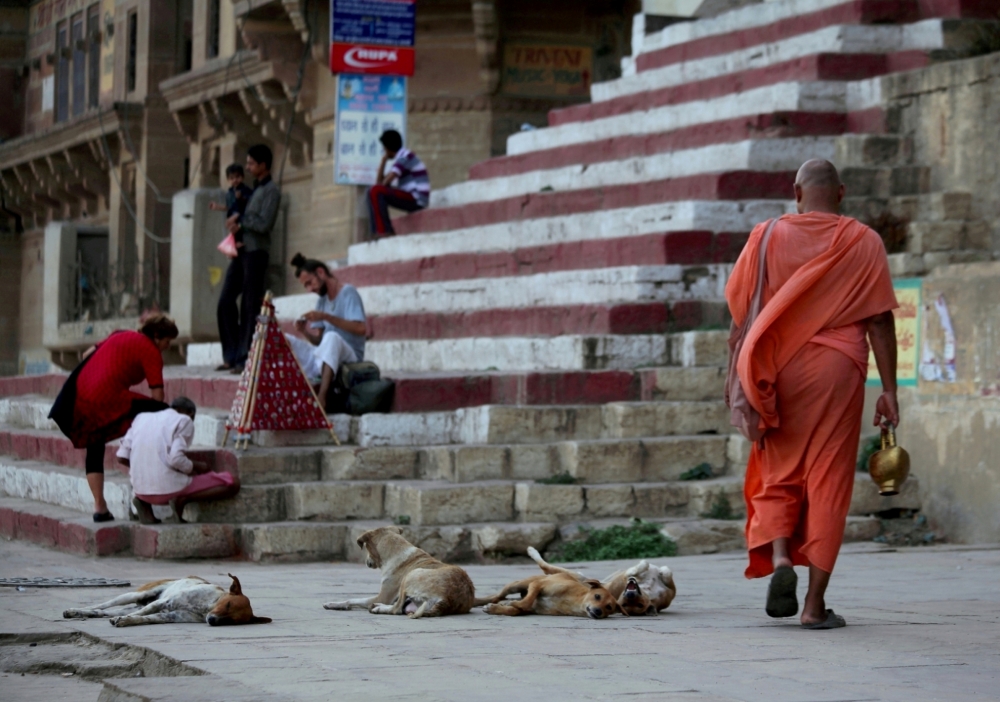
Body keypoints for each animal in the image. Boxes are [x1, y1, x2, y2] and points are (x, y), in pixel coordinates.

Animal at [64, 576, 272, 628]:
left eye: (231, 621)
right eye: (228, 604)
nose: (212, 621)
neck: (206, 606)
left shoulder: (170, 615)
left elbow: (144, 618)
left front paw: (127, 621)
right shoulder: (163, 603)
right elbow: (139, 614)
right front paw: (124, 619)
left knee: (102, 612)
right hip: (136, 595)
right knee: (101, 606)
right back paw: (75, 610)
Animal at [322, 524, 474, 620]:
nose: (366, 562)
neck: (396, 550)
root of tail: (448, 598)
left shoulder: (382, 597)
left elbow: (352, 599)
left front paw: (333, 604)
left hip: (410, 576)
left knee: (396, 609)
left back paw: (378, 608)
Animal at [478, 548, 680, 620]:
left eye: (639, 605)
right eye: (625, 602)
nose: (630, 592)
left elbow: (519, 607)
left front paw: (503, 608)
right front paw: (642, 567)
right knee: (543, 566)